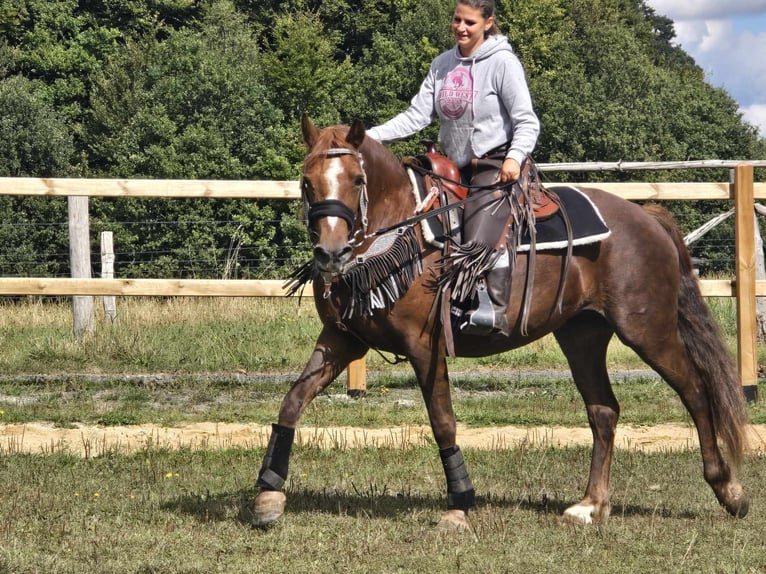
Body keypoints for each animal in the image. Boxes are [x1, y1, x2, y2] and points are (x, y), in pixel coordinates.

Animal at [252, 115, 752, 532]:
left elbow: (443, 421)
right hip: (583, 335)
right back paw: (591, 504)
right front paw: (268, 493)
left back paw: (729, 489)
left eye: (357, 179)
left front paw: (459, 504)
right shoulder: (341, 340)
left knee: (695, 391)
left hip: (649, 330)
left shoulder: (425, 345)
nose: (330, 253)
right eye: (306, 181)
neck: (401, 233)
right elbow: (292, 401)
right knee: (604, 410)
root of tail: (645, 217)